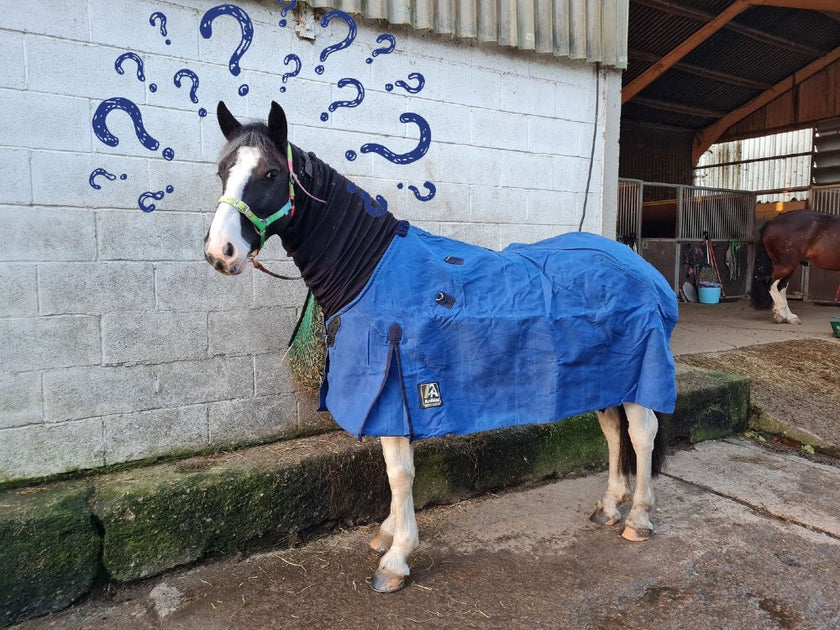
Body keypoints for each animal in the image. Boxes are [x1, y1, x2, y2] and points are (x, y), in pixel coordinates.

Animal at [204, 101, 678, 593]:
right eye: (222, 170)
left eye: (271, 173)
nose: (221, 252)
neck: (370, 271)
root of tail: (638, 265)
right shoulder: (397, 396)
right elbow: (396, 472)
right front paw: (387, 534)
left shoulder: (393, 390)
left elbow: (399, 474)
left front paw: (396, 559)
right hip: (603, 377)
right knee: (612, 431)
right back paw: (609, 506)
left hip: (640, 374)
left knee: (641, 435)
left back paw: (638, 518)